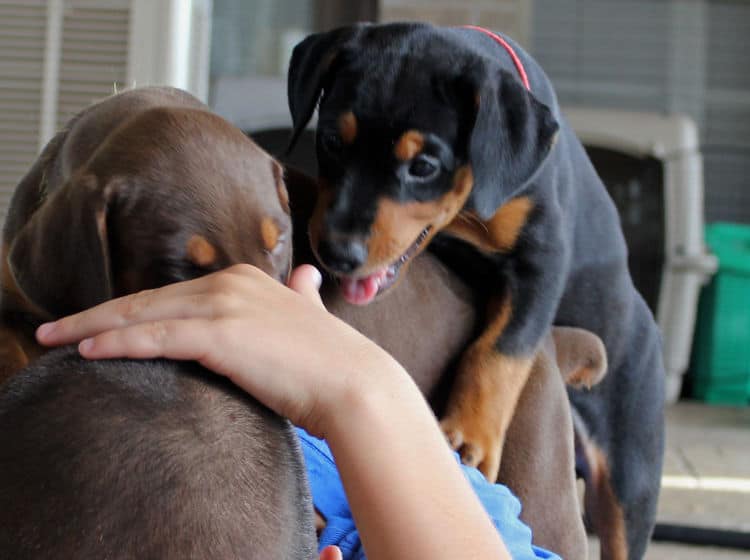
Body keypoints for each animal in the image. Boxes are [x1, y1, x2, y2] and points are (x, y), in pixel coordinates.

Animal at [286, 23, 664, 560]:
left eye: (424, 166)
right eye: (333, 139)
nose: (337, 252)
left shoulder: (542, 258)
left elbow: (499, 351)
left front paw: (469, 439)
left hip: (631, 476)